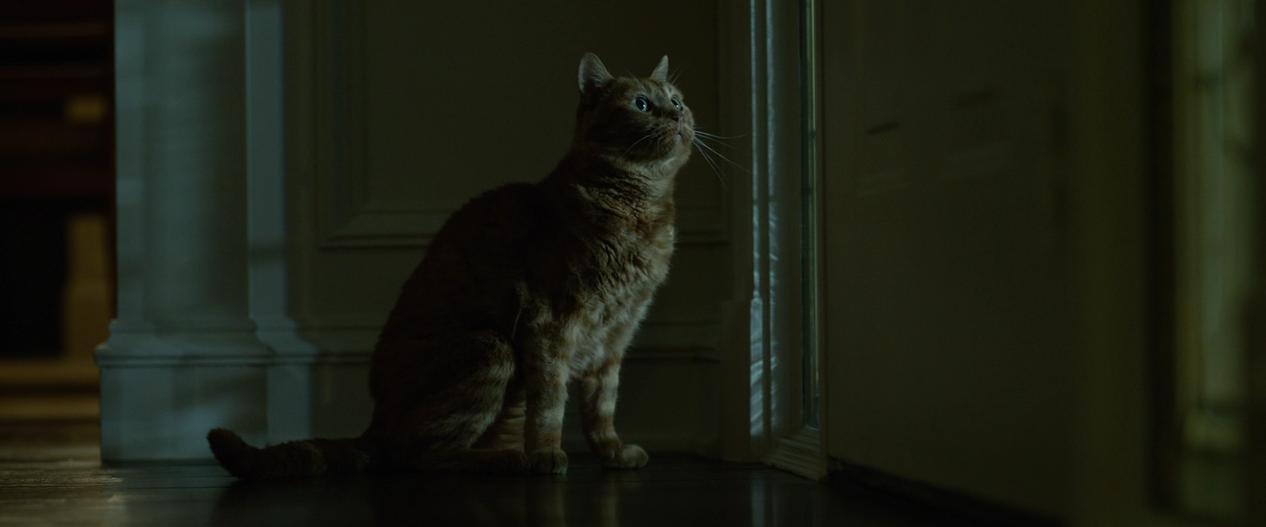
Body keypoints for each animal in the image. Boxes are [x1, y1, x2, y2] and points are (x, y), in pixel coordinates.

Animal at [206, 53, 694, 478]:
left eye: (677, 100)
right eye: (642, 104)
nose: (678, 117)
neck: (642, 210)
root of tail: (377, 418)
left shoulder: (617, 335)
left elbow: (601, 408)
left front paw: (614, 453)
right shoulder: (552, 323)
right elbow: (550, 405)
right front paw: (547, 455)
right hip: (490, 348)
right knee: (421, 454)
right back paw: (508, 461)